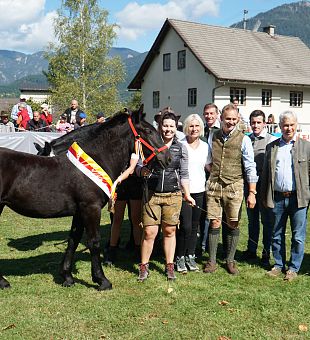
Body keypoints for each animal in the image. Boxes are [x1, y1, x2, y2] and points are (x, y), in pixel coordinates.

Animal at [0, 108, 170, 290]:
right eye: (148, 131)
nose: (167, 158)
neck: (95, 161)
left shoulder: (79, 212)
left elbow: (73, 240)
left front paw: (67, 277)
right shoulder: (90, 208)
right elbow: (93, 241)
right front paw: (102, 280)